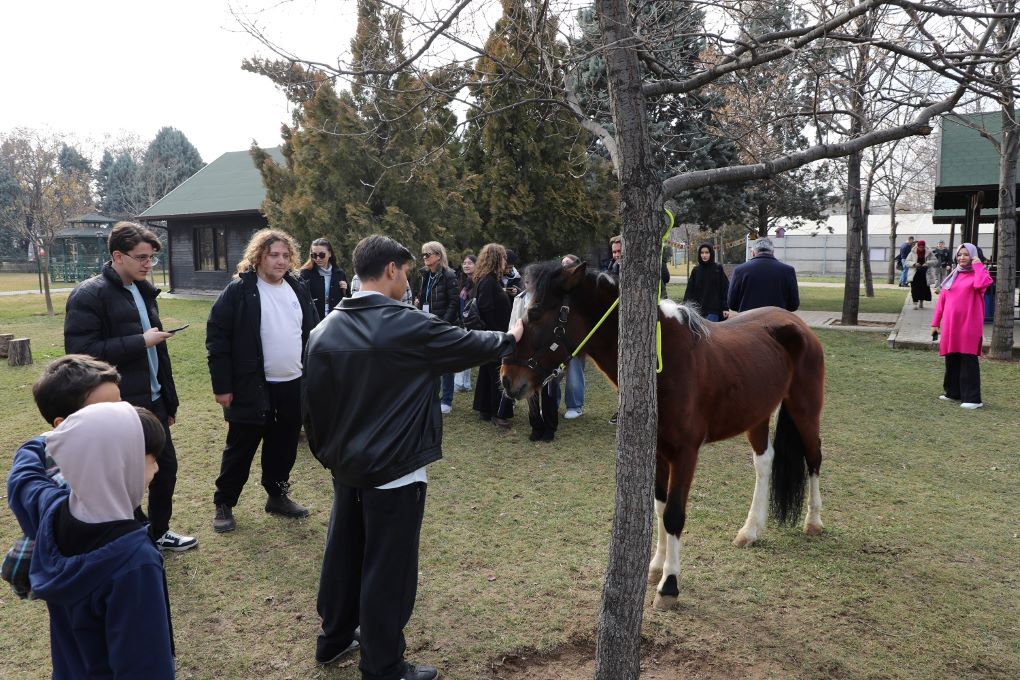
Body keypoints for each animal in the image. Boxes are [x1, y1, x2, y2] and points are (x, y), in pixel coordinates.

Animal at [497, 263, 824, 611]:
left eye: (535, 313)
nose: (506, 379)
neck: (665, 362)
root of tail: (796, 324)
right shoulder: (657, 450)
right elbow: (658, 508)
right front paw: (656, 567)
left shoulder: (685, 453)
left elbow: (674, 515)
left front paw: (669, 585)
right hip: (757, 415)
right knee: (764, 462)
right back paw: (750, 530)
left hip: (804, 410)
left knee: (814, 457)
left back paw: (813, 522)